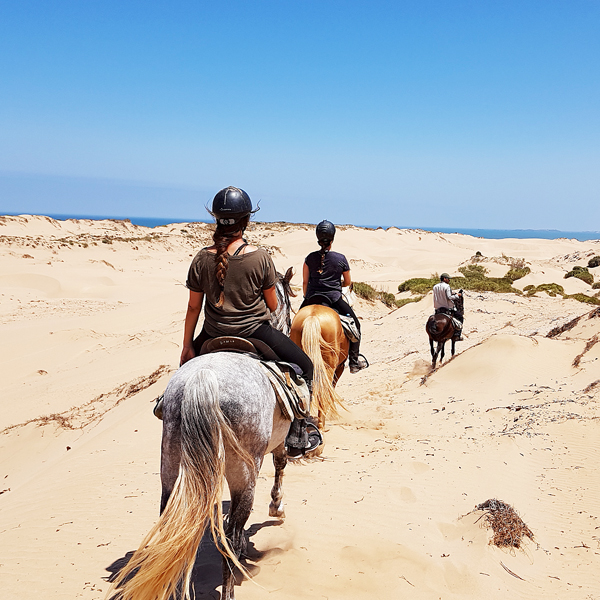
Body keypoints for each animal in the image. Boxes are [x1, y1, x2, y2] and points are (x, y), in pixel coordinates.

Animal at [109, 270, 296, 600]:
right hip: (243, 473)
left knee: (174, 530)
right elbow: (280, 465)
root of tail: (203, 378)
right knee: (230, 538)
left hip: (171, 466)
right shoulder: (279, 440)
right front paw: (277, 506)